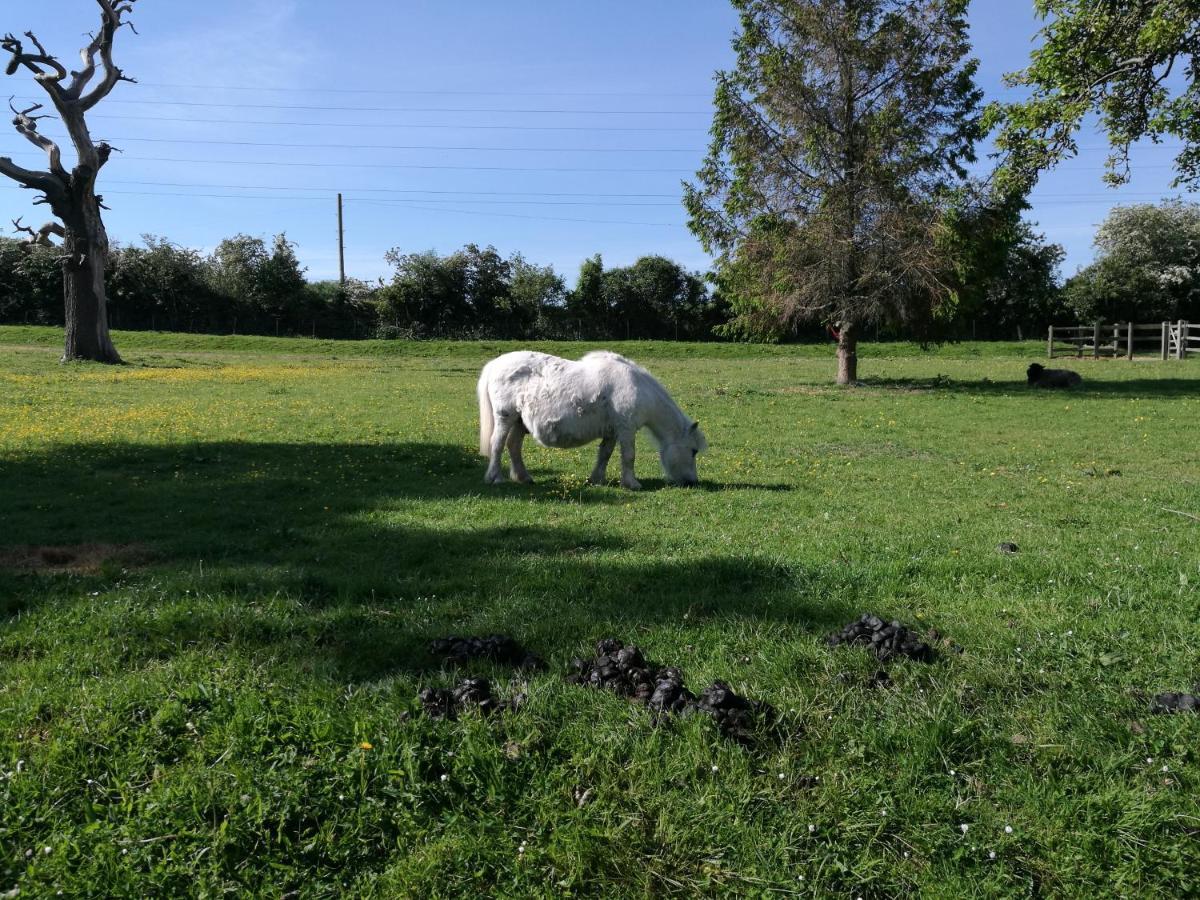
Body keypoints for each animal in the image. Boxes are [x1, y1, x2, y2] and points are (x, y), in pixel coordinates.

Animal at [475, 352, 705, 494]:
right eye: (693, 451)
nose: (692, 482)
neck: (637, 387)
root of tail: (494, 364)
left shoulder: (612, 432)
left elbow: (605, 454)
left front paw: (597, 479)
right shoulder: (626, 429)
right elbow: (628, 456)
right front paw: (632, 483)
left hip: (519, 422)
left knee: (513, 445)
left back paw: (524, 478)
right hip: (505, 417)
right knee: (497, 444)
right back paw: (495, 478)